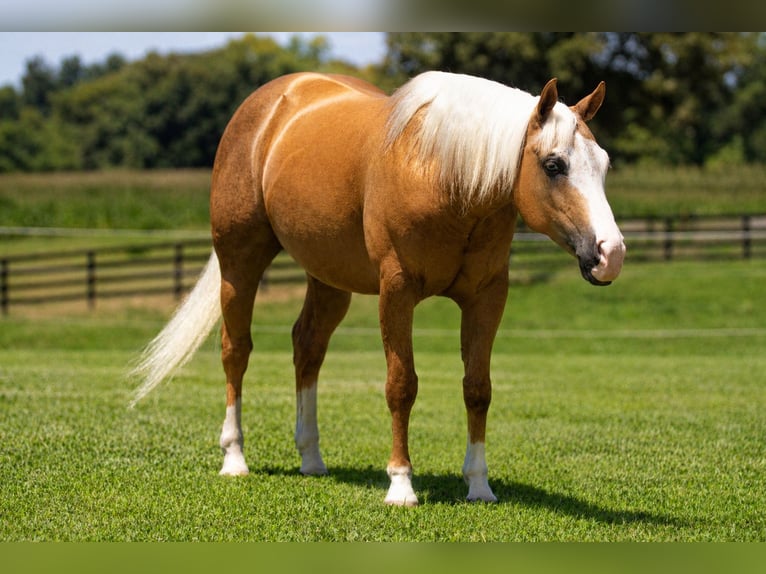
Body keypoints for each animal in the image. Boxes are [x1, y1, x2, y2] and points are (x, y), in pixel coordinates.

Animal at [130, 71, 625, 506]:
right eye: (554, 164)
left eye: (603, 164)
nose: (611, 253)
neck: (445, 173)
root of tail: (270, 102)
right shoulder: (397, 291)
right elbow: (401, 385)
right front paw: (401, 486)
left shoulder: (487, 295)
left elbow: (477, 388)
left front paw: (479, 485)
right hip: (239, 261)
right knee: (236, 350)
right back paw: (234, 457)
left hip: (328, 279)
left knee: (307, 348)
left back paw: (312, 458)